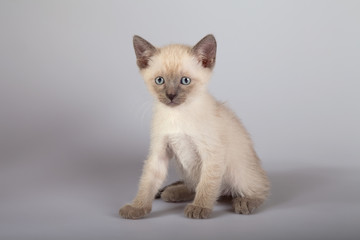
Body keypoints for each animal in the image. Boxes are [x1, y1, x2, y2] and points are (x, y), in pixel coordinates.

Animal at [119, 34, 268, 219]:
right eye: (160, 80)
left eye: (185, 81)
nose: (171, 96)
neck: (178, 115)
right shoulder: (159, 153)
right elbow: (147, 183)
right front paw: (137, 207)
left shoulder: (212, 154)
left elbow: (207, 185)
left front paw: (200, 207)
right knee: (194, 186)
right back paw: (172, 191)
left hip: (238, 172)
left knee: (259, 189)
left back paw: (244, 201)